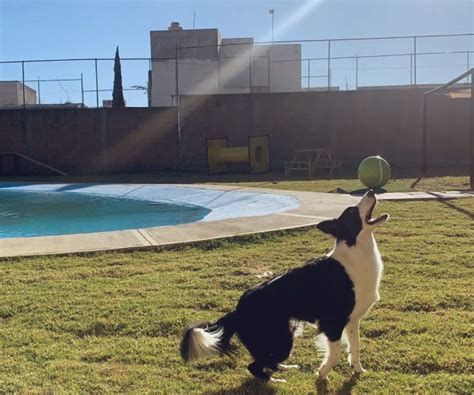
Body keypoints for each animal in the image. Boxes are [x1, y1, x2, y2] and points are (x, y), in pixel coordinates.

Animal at [180, 190, 386, 382]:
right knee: (254, 366)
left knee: (266, 361)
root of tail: (237, 311)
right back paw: (275, 379)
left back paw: (283, 368)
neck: (354, 253)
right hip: (282, 341)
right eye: (352, 211)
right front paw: (322, 373)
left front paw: (358, 370)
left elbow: (355, 347)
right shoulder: (332, 324)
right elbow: (335, 353)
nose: (370, 191)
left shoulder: (352, 320)